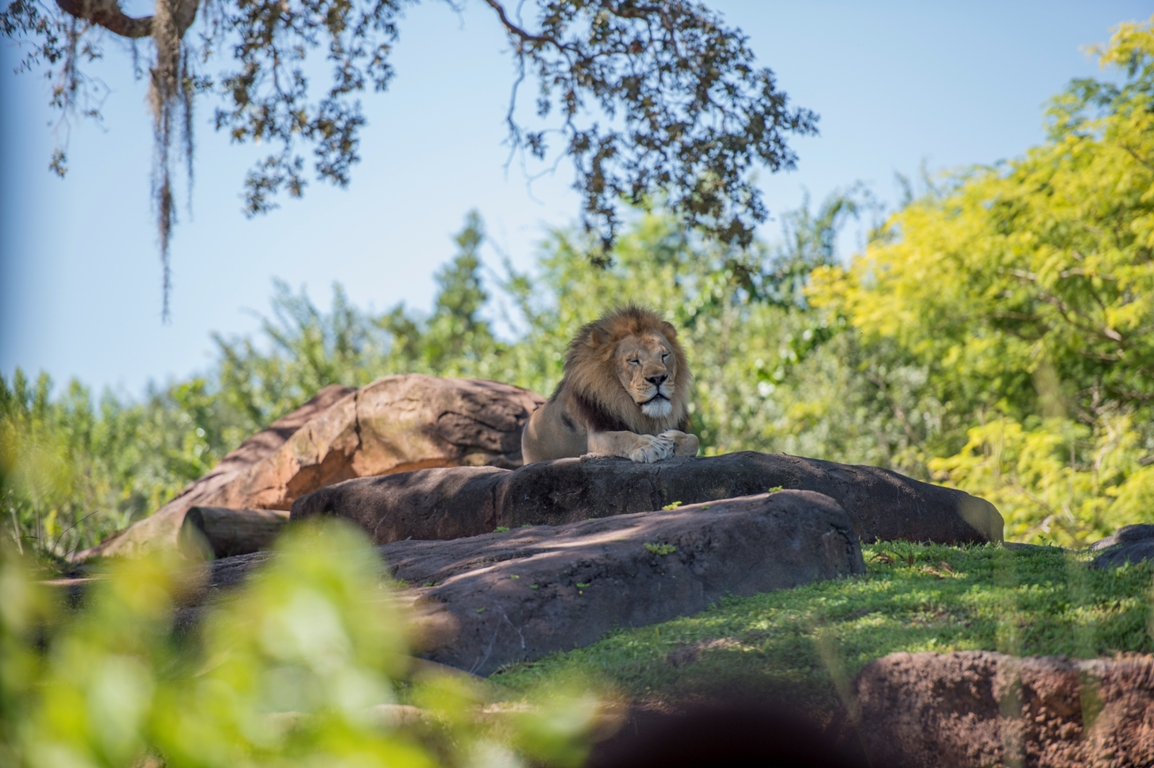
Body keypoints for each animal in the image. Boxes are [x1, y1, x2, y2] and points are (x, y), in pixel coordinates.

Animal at [519, 304, 697, 461]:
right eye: (634, 360)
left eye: (664, 355)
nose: (658, 378)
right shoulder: (595, 438)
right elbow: (622, 436)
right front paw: (648, 445)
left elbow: (694, 440)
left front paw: (672, 440)